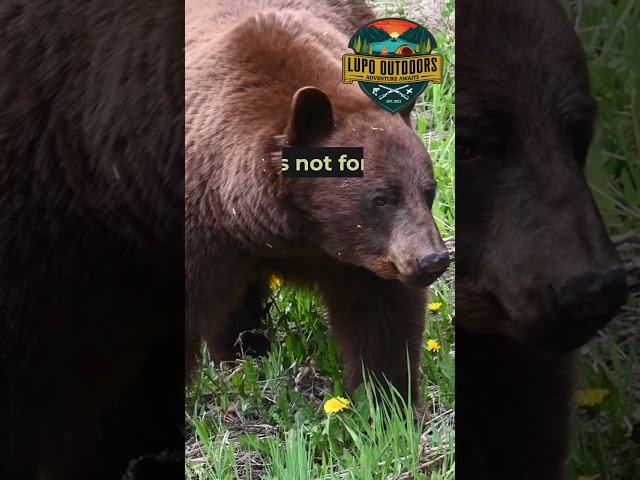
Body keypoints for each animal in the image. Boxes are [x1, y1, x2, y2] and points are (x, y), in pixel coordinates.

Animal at [185, 0, 451, 405]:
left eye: (428, 191)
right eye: (381, 198)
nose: (433, 259)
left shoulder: (366, 257)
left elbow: (382, 312)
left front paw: (387, 399)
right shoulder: (200, 221)